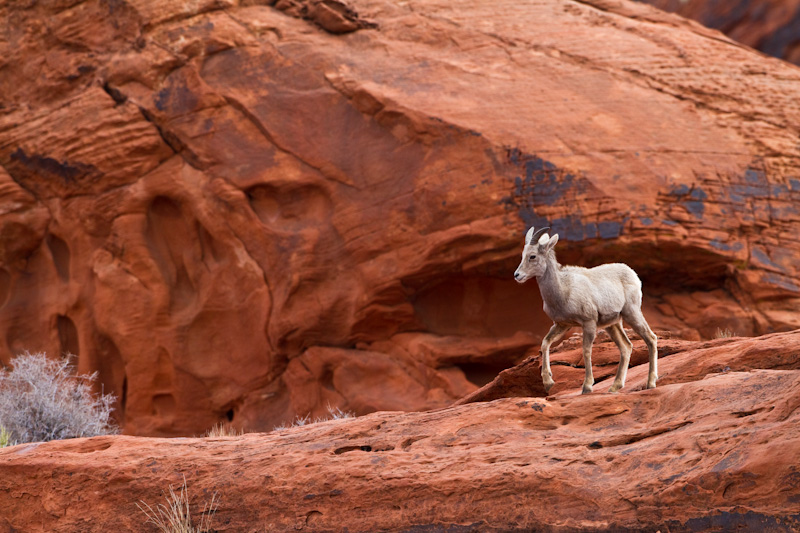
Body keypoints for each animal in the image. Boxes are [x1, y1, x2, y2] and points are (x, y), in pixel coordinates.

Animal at [516, 227, 660, 392]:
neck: (564, 291)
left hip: (632, 313)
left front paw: (587, 386)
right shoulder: (562, 325)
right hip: (613, 324)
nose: (517, 275)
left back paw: (650, 383)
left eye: (532, 256)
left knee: (650, 338)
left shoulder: (588, 323)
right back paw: (615, 387)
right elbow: (545, 343)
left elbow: (586, 350)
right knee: (626, 347)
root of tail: (632, 274)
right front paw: (548, 382)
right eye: (523, 255)